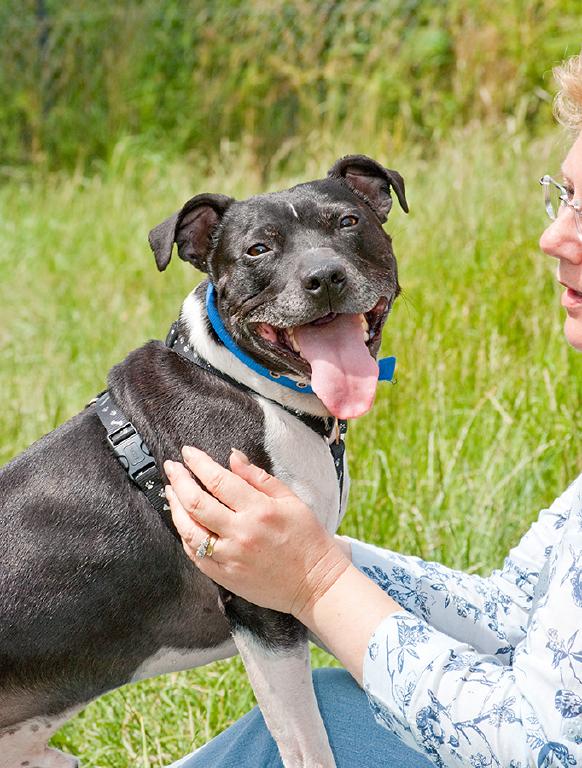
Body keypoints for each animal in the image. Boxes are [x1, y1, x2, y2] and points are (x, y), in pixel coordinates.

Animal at [0, 156, 408, 768]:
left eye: (348, 221)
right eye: (258, 249)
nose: (324, 277)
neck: (244, 382)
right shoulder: (261, 609)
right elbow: (306, 742)